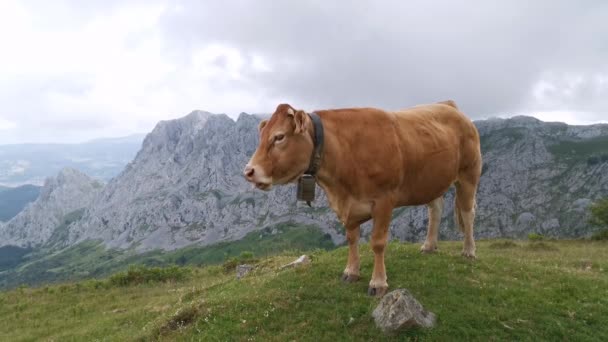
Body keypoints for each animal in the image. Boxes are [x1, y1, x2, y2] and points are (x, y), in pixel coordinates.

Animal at [242, 101, 480, 296]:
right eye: (261, 137)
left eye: (279, 137)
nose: (248, 171)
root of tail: (449, 105)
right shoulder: (348, 205)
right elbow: (352, 238)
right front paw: (351, 271)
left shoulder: (384, 200)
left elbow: (378, 242)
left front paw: (378, 283)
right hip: (432, 181)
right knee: (436, 208)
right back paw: (429, 245)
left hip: (469, 175)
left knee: (468, 213)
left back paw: (469, 250)